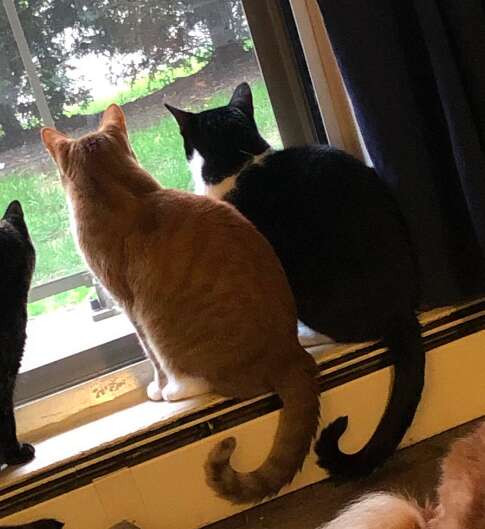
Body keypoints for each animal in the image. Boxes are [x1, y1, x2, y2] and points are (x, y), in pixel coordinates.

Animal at [40, 105, 318, 506]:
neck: (115, 186)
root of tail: (291, 354)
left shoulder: (129, 307)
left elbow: (151, 360)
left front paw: (156, 389)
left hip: (163, 330)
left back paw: (174, 390)